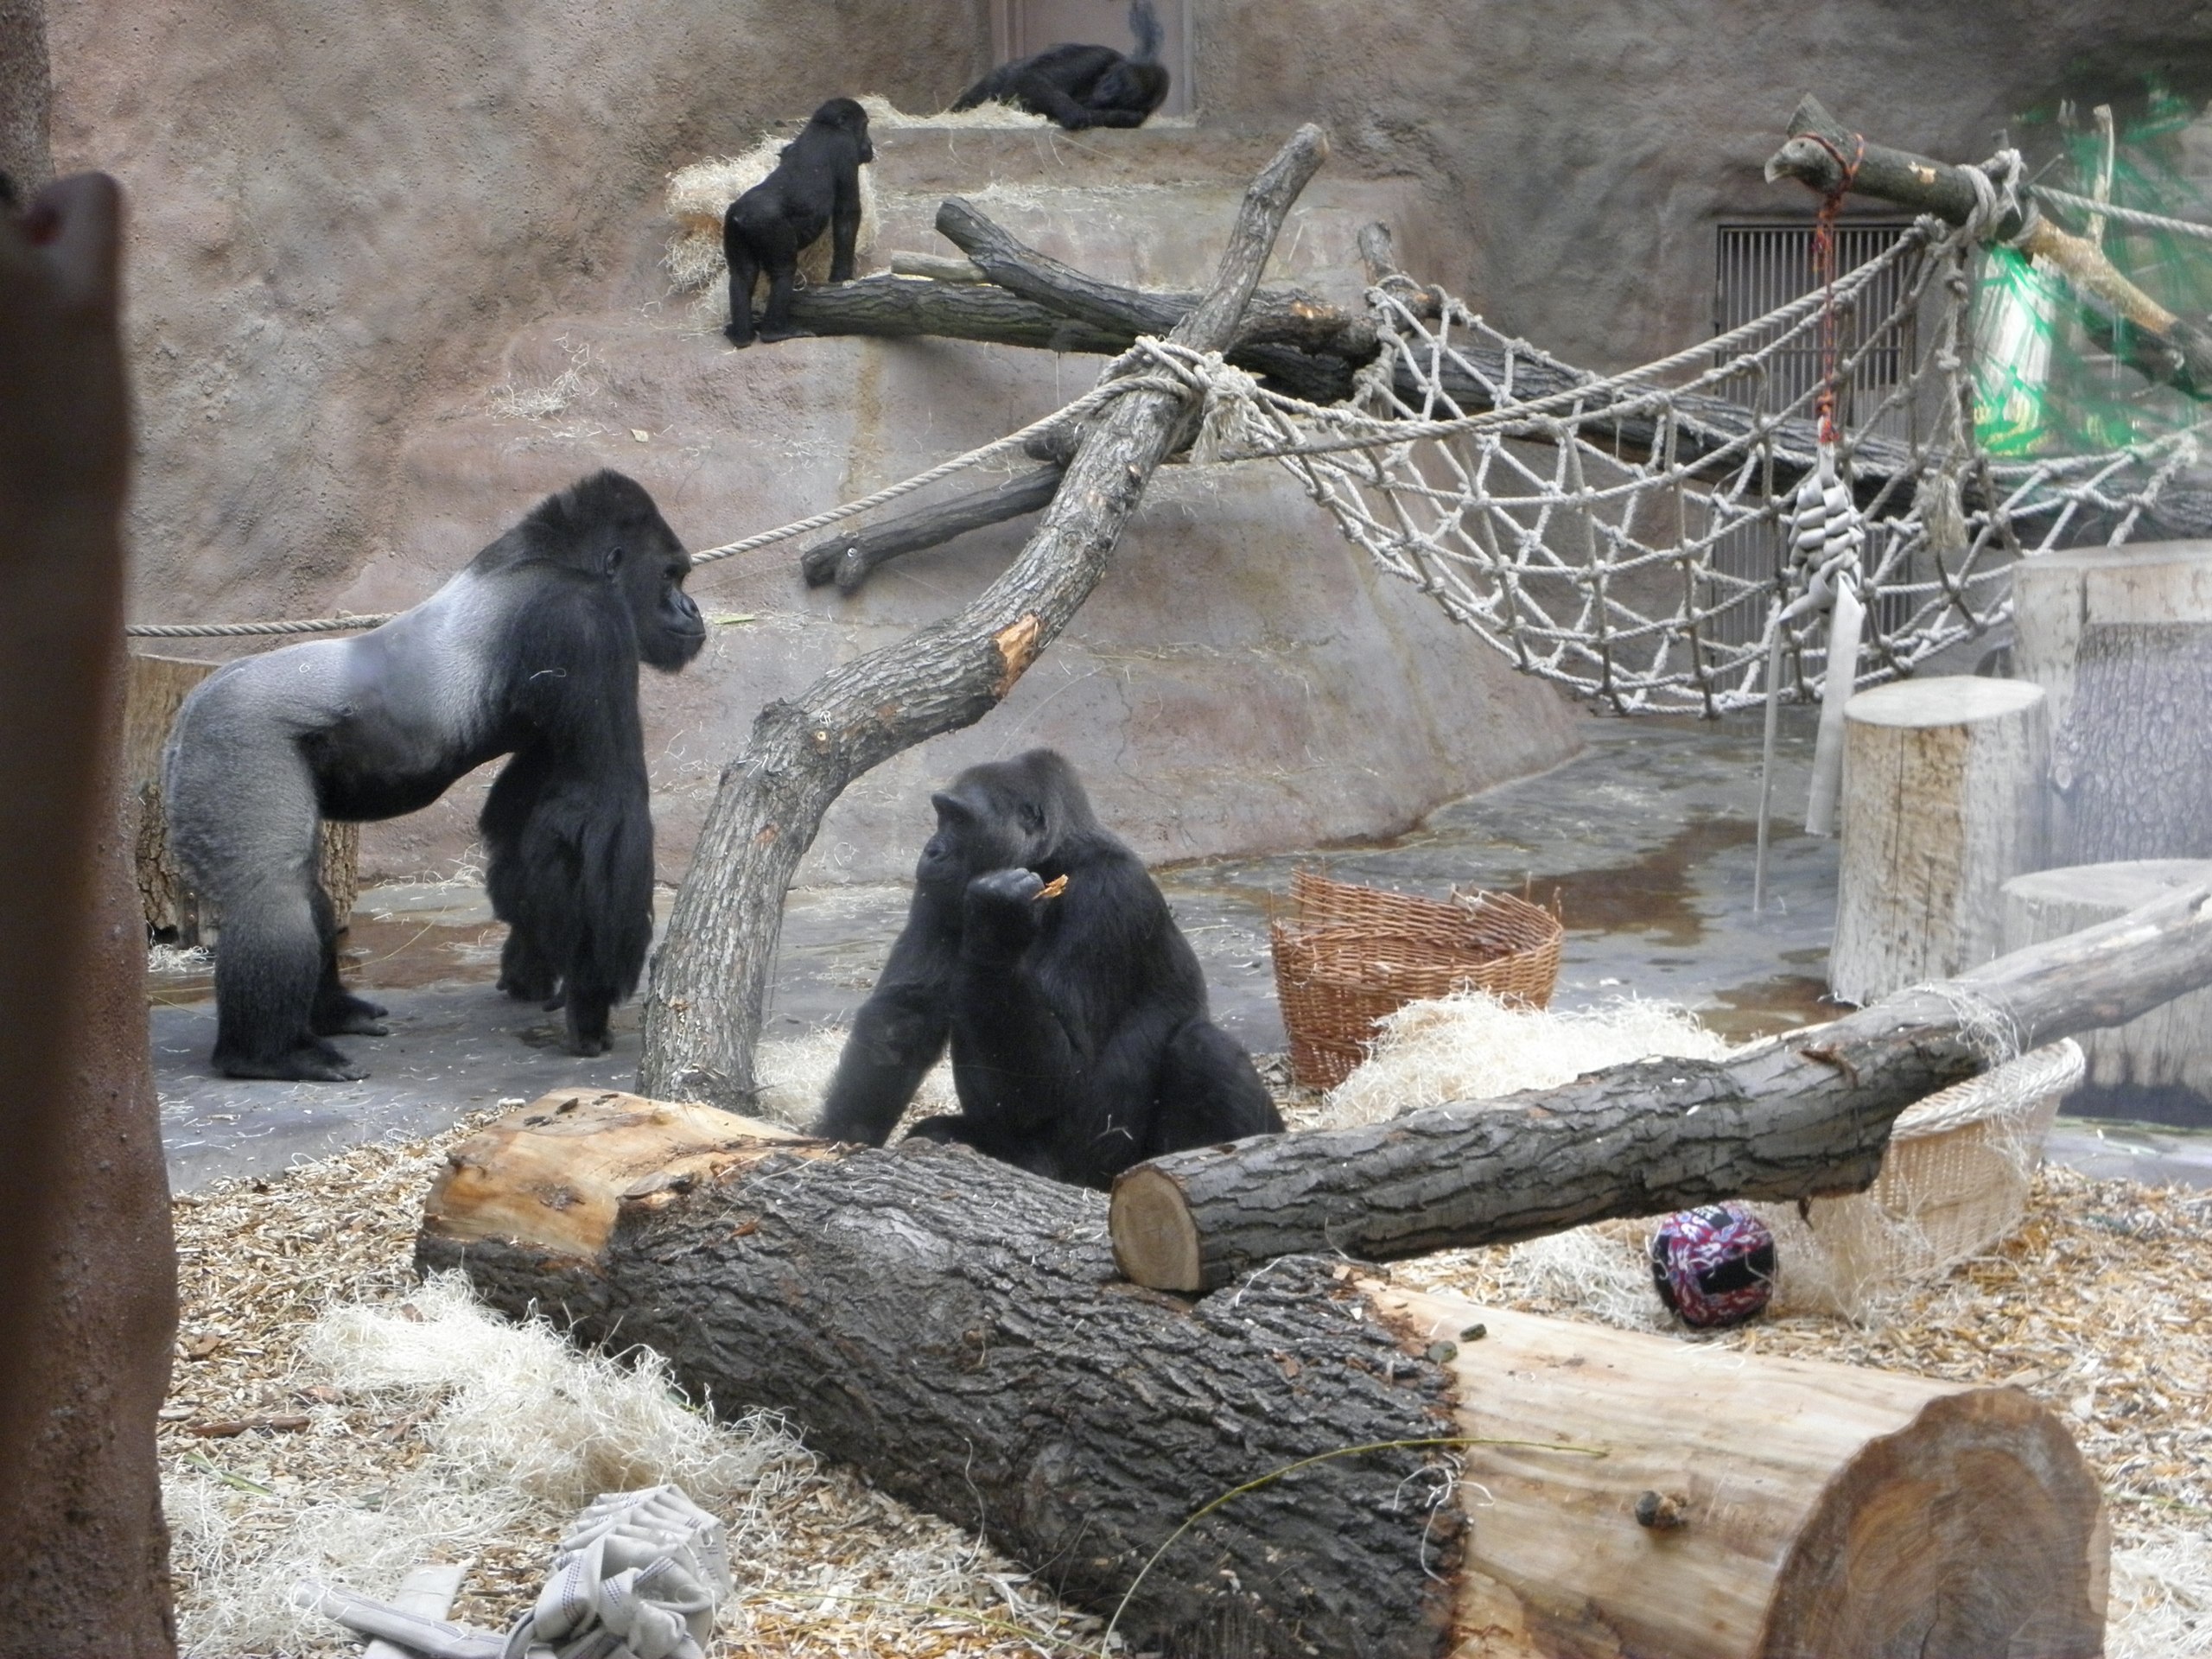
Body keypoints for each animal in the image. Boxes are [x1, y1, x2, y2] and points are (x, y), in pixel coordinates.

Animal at [168, 473, 703, 1084]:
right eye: (670, 575)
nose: (691, 609)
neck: (558, 558)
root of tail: (191, 706)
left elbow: (525, 822)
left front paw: (531, 963)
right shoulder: (585, 623)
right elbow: (602, 809)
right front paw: (591, 1000)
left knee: (299, 885)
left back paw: (330, 1014)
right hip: (233, 738)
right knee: (271, 891)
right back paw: (266, 1054)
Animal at [721, 97, 867, 346]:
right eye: (865, 126)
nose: (869, 144)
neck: (825, 125)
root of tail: (741, 215)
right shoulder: (846, 148)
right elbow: (847, 213)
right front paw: (842, 277)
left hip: (732, 229)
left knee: (742, 274)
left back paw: (741, 334)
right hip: (769, 227)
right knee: (784, 271)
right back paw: (775, 332)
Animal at [814, 752, 1282, 1194]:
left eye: (960, 820)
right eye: (942, 815)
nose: (931, 851)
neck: (1055, 858)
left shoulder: (1108, 893)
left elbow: (1062, 1075)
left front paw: (996, 926)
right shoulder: (939, 891)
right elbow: (904, 1015)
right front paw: (836, 1139)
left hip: (1092, 1173)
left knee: (1205, 1048)